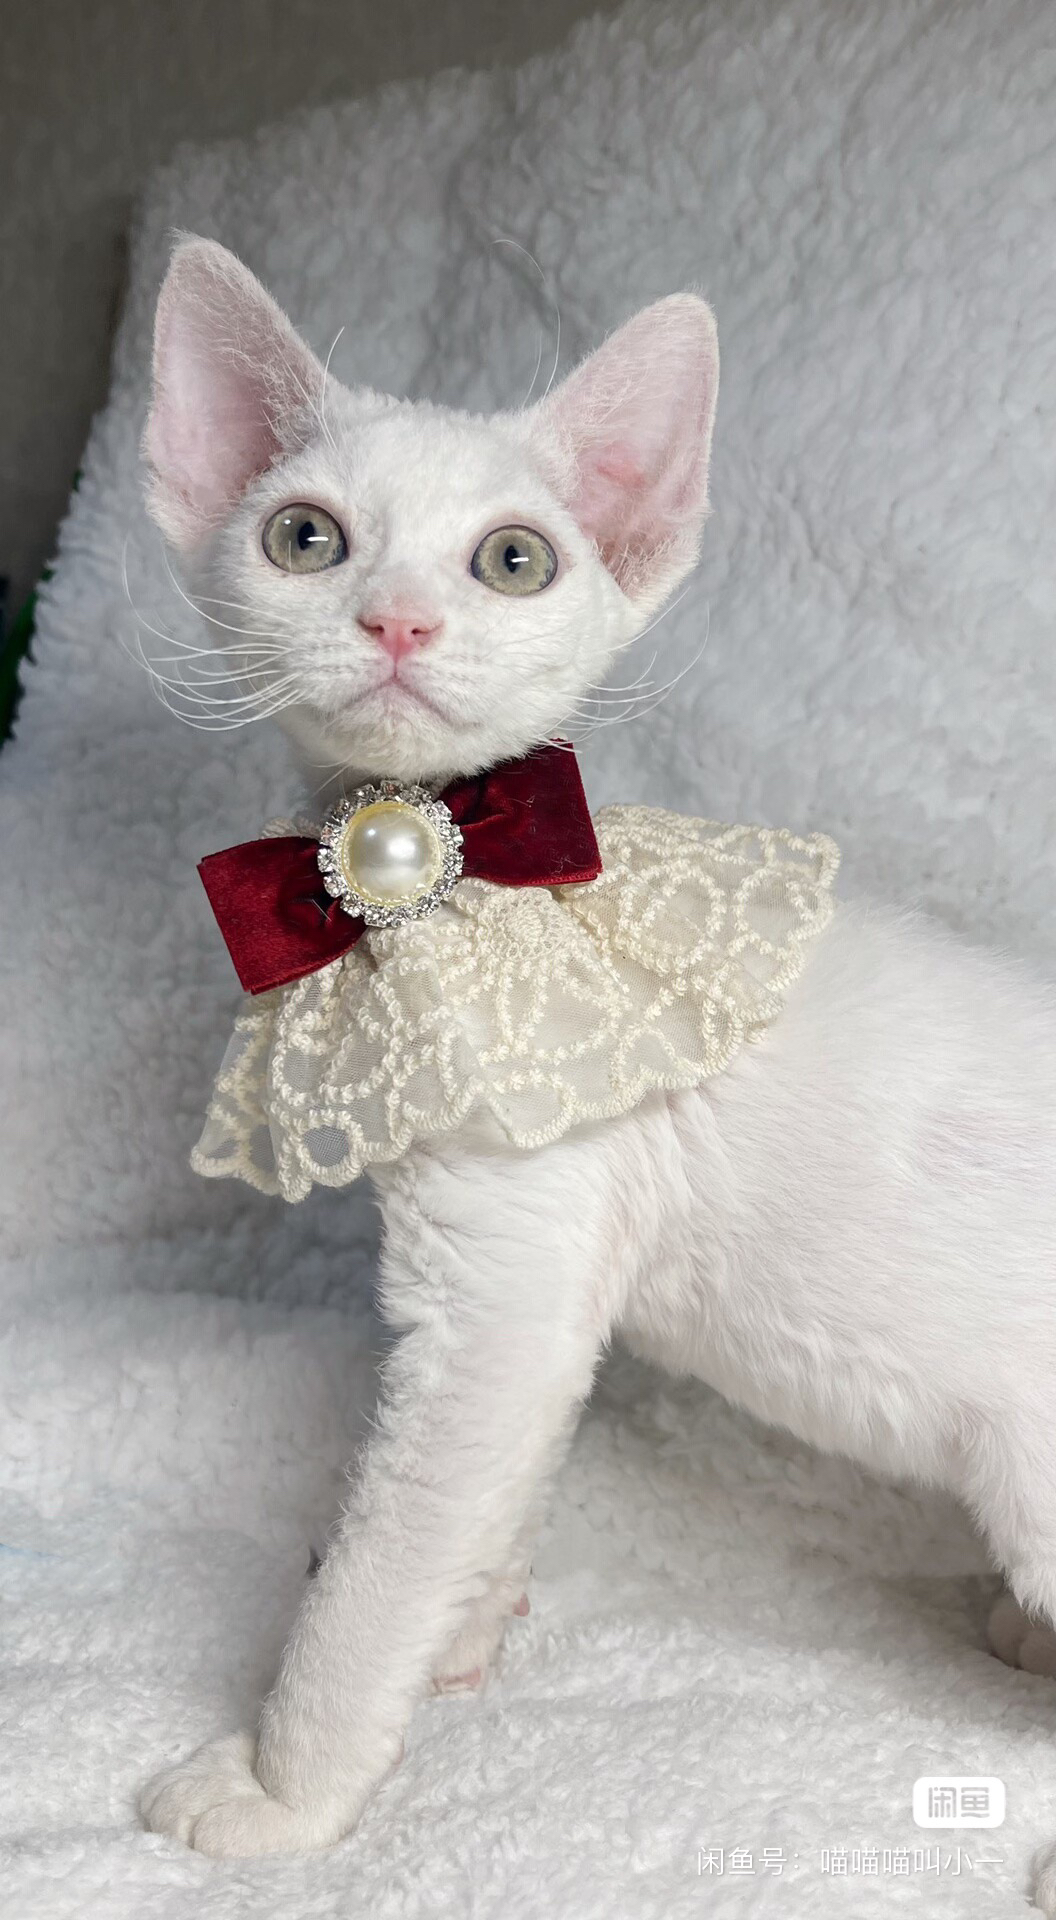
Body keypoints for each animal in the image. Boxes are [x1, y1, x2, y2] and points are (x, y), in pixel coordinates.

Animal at [138, 237, 1056, 1911]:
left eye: (514, 561)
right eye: (307, 539)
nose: (398, 624)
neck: (467, 879)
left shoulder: (497, 1287)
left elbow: (379, 1563)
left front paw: (286, 1789)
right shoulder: (531, 1298)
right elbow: (476, 1503)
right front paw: (461, 1637)